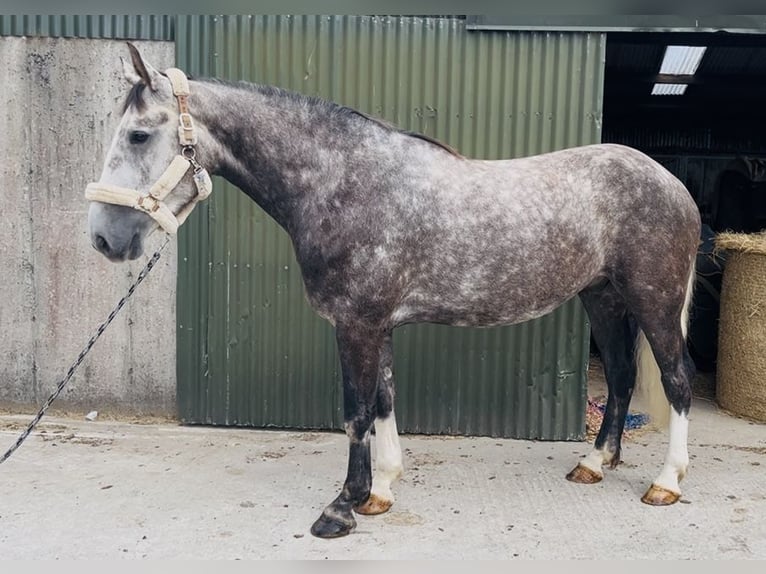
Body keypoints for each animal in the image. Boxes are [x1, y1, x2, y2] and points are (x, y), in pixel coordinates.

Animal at [85, 43, 701, 539]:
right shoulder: (377, 324)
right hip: (604, 298)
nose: (103, 238)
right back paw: (594, 463)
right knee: (620, 375)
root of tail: (672, 183)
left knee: (676, 381)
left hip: (655, 300)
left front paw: (341, 508)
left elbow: (355, 411)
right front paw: (380, 491)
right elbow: (383, 400)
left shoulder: (356, 324)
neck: (345, 183)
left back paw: (667, 483)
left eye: (139, 134)